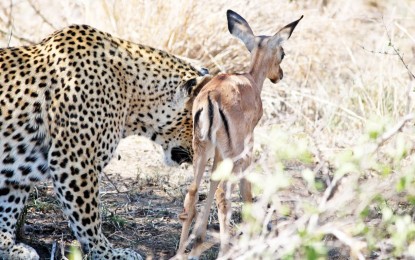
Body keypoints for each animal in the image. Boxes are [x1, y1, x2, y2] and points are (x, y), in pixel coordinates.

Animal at [0, 24, 210, 260]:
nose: (205, 153)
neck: (133, 94)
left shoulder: (18, 169)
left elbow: (8, 206)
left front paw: (7, 246)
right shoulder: (75, 162)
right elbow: (88, 218)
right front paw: (107, 252)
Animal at [177, 9, 304, 258]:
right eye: (282, 53)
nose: (280, 75)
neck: (251, 80)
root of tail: (212, 97)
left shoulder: (218, 153)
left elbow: (212, 183)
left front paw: (198, 241)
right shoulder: (246, 150)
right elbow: (246, 191)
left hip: (202, 148)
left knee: (193, 191)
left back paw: (180, 252)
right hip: (230, 154)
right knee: (223, 196)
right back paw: (225, 250)